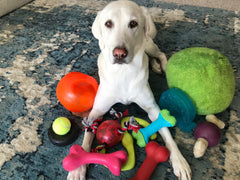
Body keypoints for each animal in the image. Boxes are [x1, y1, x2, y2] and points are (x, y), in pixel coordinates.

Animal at [67, 0, 191, 179]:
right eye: (108, 24)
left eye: (133, 24)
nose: (119, 53)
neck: (123, 72)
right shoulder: (97, 111)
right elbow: (87, 136)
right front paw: (78, 166)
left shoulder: (153, 109)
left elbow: (167, 133)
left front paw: (179, 160)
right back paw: (154, 65)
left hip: (149, 44)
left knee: (160, 53)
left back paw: (163, 66)